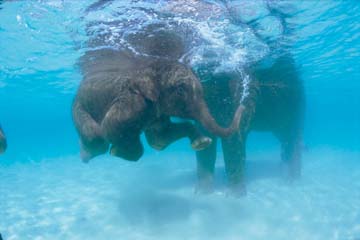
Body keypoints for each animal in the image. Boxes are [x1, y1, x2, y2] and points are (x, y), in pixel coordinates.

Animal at [71, 23, 243, 161]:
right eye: (180, 90)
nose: (243, 106)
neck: (145, 70)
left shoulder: (157, 112)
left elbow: (160, 139)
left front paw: (202, 143)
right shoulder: (132, 102)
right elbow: (109, 126)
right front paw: (117, 151)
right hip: (78, 108)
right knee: (95, 137)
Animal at [195, 54, 306, 197]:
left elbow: (234, 139)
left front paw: (235, 197)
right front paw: (201, 194)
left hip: (297, 105)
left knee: (292, 136)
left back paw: (292, 181)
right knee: (285, 137)